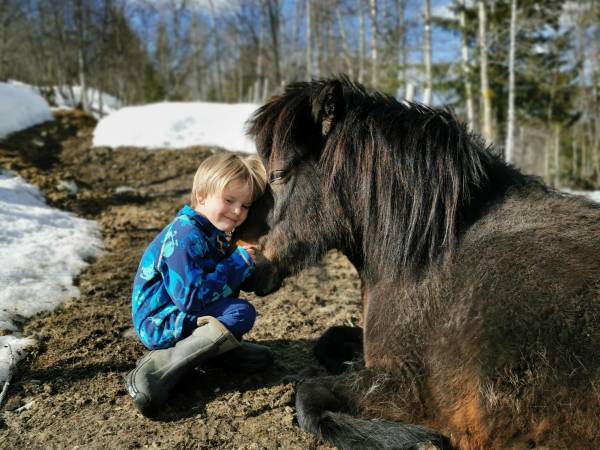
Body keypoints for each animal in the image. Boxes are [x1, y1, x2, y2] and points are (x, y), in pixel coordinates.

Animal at [241, 78, 596, 450]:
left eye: (279, 174)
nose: (245, 254)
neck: (425, 253)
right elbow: (329, 338)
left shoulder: (411, 390)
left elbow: (307, 396)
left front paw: (418, 439)